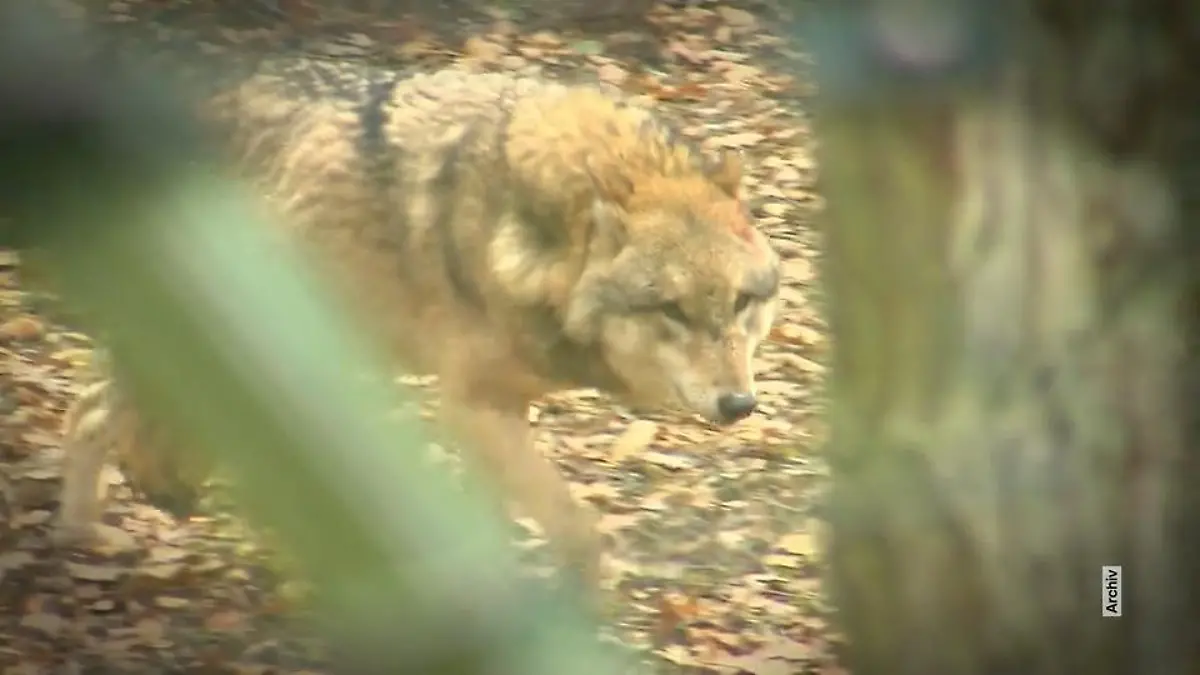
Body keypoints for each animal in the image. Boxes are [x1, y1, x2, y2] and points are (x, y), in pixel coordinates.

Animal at [52, 57, 781, 589]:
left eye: (740, 303)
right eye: (673, 309)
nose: (739, 404)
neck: (523, 234)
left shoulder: (498, 410)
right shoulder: (470, 406)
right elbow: (576, 528)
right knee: (88, 414)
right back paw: (86, 533)